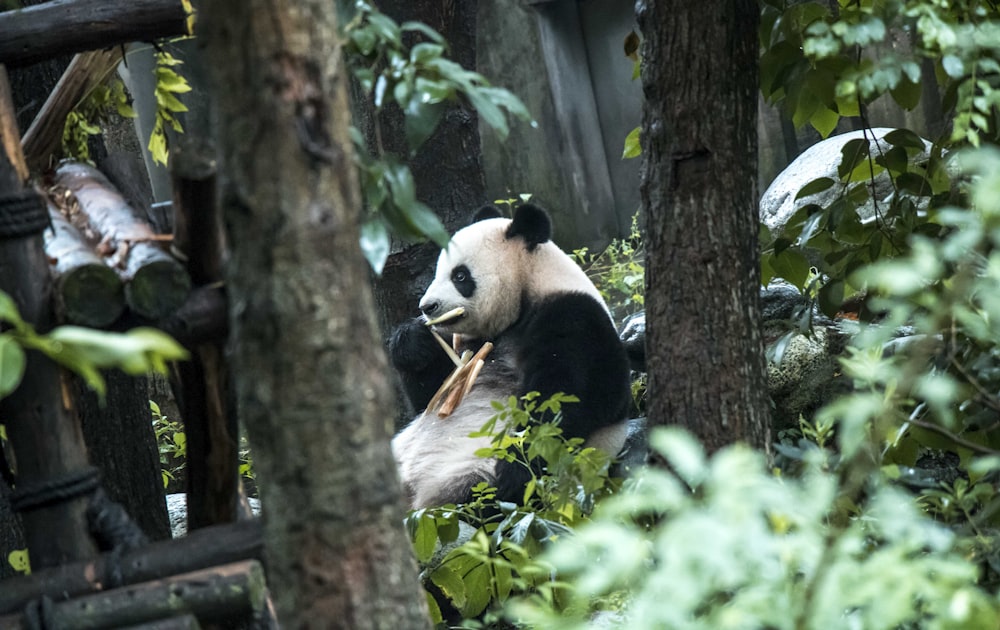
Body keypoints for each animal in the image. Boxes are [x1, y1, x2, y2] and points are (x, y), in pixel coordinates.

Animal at [386, 205, 628, 512]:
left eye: (460, 276)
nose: (427, 307)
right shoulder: (471, 344)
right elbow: (431, 397)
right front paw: (413, 341)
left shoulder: (576, 321)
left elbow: (566, 400)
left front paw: (514, 470)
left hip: (468, 469)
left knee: (477, 497)